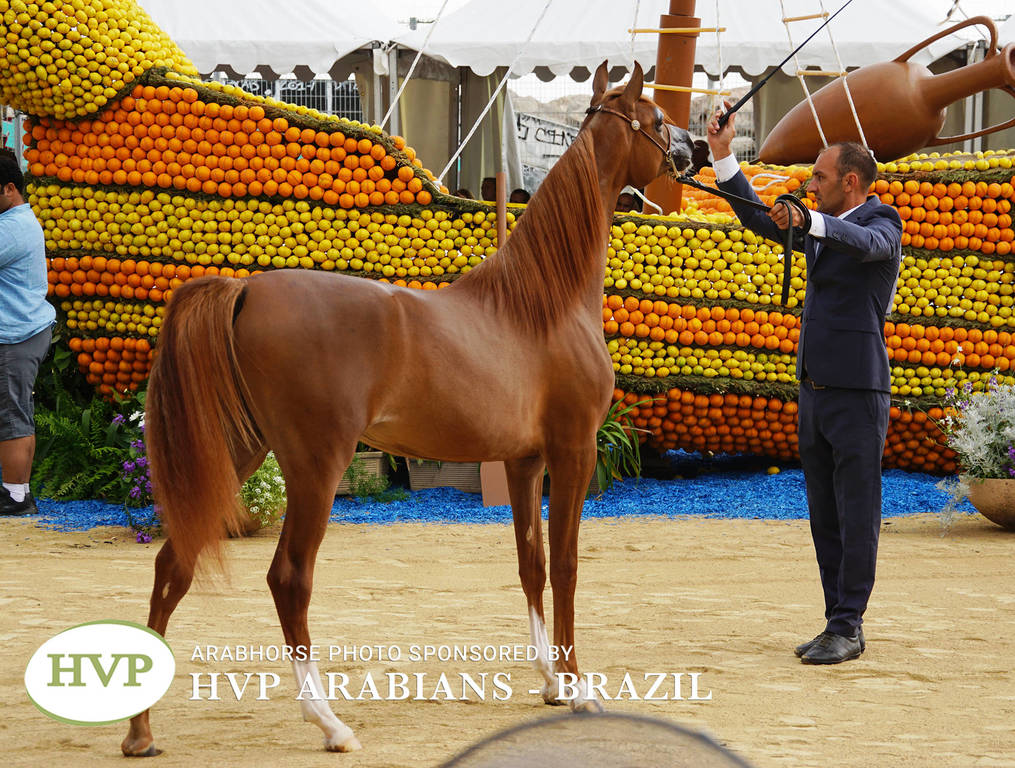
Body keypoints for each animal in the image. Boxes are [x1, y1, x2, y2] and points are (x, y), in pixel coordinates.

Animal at [121, 60, 694, 756]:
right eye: (657, 119)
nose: (695, 149)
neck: (542, 306)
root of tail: (246, 289)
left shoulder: (525, 462)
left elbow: (531, 565)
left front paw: (552, 684)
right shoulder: (573, 451)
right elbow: (566, 567)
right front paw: (580, 688)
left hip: (239, 450)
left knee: (172, 564)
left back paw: (140, 733)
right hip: (315, 466)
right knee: (289, 578)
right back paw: (331, 724)